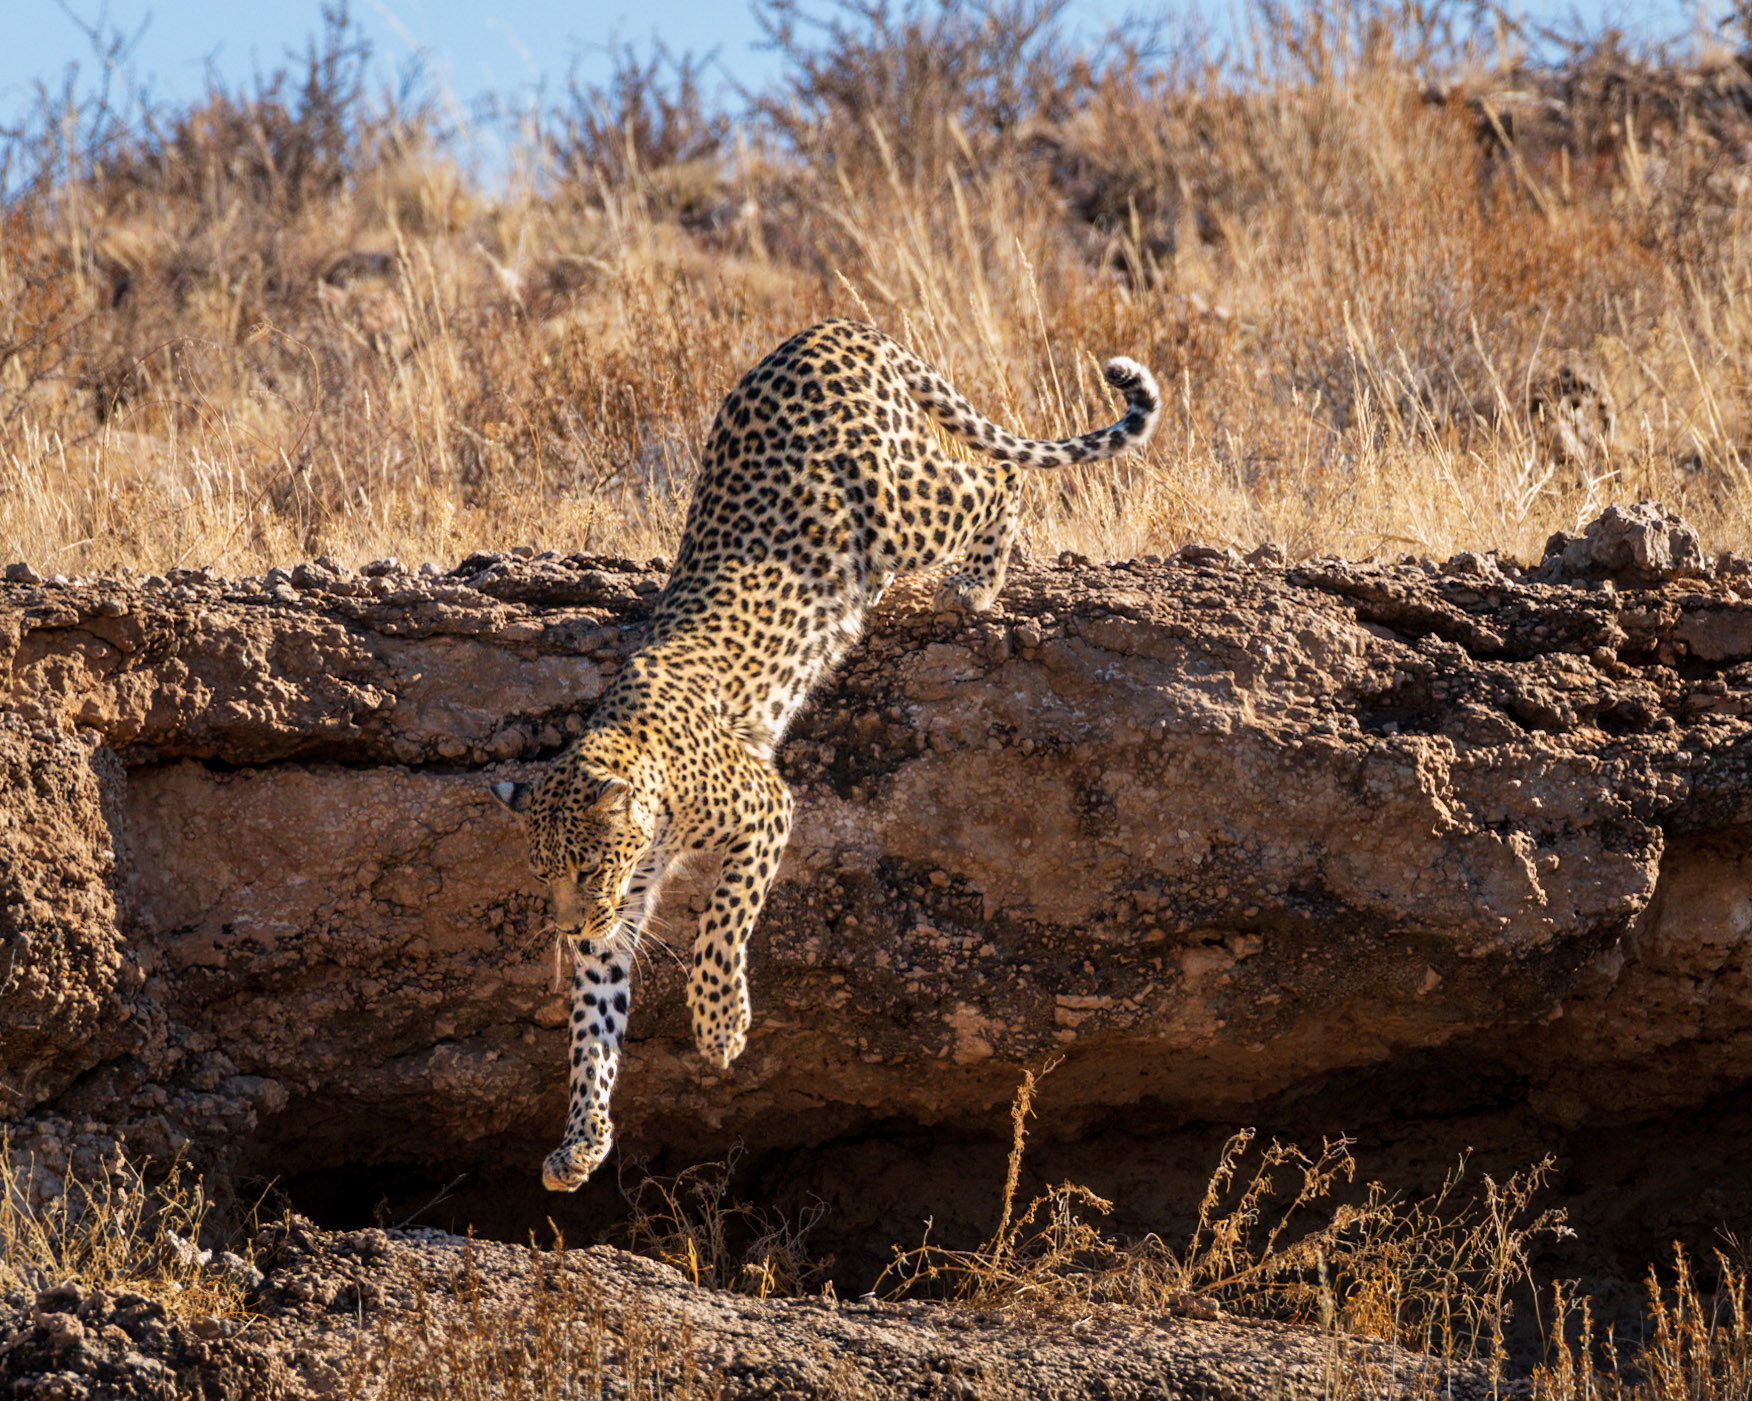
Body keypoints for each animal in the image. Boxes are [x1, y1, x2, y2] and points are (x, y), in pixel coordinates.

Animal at [492, 319, 1160, 1191]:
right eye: (544, 873)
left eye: (583, 866)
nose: (567, 930)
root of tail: (831, 329)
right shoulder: (620, 918)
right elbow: (592, 1029)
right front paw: (582, 1139)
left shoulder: (766, 807)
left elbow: (722, 921)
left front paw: (720, 1026)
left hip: (903, 502)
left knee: (996, 478)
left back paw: (972, 587)